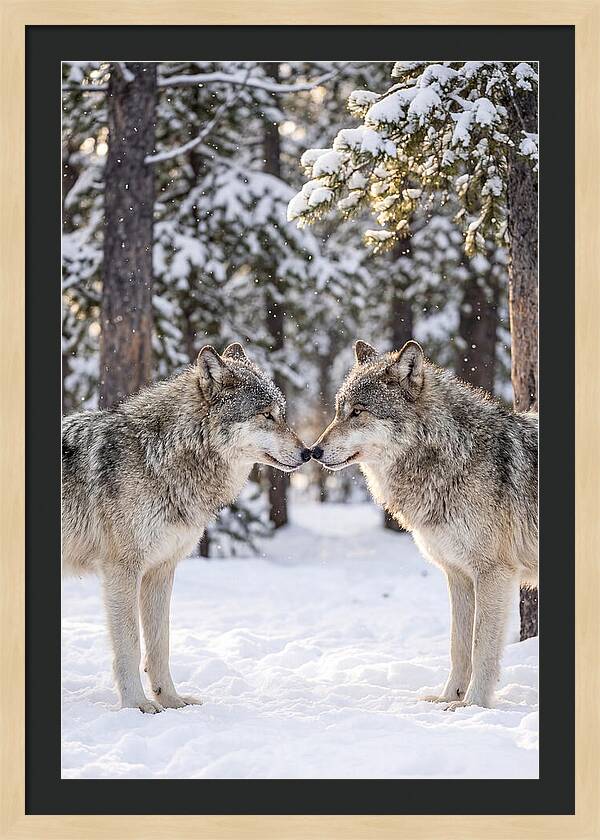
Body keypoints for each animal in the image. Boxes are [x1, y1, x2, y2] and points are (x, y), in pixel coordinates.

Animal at [62, 343, 310, 713]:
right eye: (266, 415)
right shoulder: (122, 570)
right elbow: (130, 644)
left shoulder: (161, 569)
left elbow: (160, 644)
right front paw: (137, 704)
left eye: (281, 414)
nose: (308, 452)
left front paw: (171, 700)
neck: (158, 458)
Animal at [312, 339, 538, 709]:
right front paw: (448, 697)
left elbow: (481, 648)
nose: (313, 451)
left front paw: (473, 705)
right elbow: (458, 646)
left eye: (358, 412)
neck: (454, 456)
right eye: (338, 411)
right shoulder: (458, 574)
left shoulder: (494, 574)